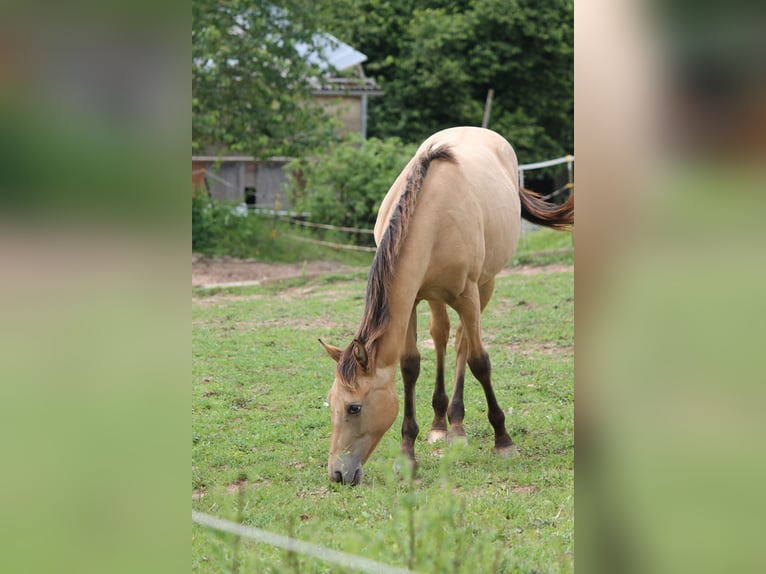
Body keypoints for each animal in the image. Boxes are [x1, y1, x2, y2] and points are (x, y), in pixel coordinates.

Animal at [320, 126, 576, 486]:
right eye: (331, 403)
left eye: (354, 407)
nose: (338, 473)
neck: (432, 214)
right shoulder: (411, 300)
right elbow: (410, 365)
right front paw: (407, 455)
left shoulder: (468, 294)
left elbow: (480, 362)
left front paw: (504, 441)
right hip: (436, 297)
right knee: (442, 336)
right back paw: (442, 424)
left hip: (484, 285)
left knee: (462, 343)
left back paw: (457, 425)